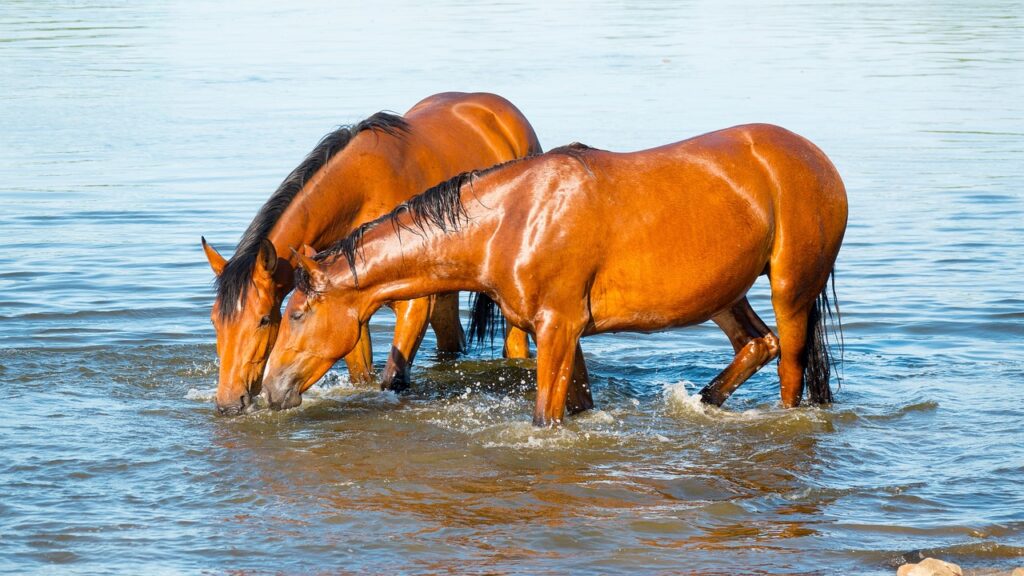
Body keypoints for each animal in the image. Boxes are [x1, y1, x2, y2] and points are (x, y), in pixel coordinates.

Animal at [200, 92, 594, 416]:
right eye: (215, 321)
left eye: (264, 319)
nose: (229, 402)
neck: (360, 191)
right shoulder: (345, 306)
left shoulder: (413, 305)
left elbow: (393, 380)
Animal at [261, 123, 848, 427]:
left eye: (295, 313)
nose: (269, 388)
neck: (512, 218)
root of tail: (815, 158)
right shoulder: (566, 334)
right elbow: (578, 404)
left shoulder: (557, 328)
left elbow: (546, 417)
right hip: (725, 294)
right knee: (758, 344)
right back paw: (703, 400)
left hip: (791, 291)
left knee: (790, 373)